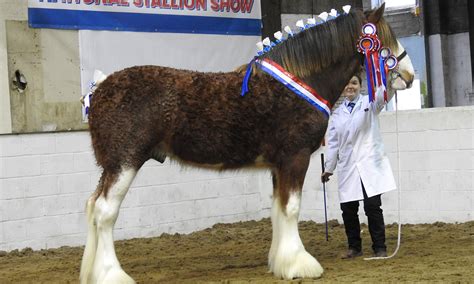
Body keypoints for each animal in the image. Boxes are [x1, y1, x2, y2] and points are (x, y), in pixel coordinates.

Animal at [80, 4, 412, 284]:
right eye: (383, 37)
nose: (408, 76)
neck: (297, 82)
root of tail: (100, 91)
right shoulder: (295, 157)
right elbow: (291, 208)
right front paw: (301, 265)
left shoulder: (278, 165)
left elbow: (278, 209)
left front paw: (281, 262)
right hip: (125, 162)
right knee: (105, 212)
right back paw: (112, 275)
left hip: (111, 166)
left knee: (93, 206)